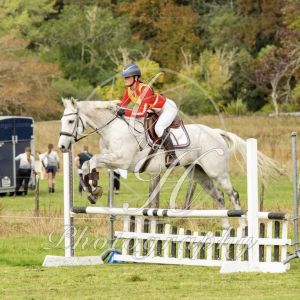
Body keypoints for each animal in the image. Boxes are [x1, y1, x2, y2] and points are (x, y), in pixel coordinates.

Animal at [58, 98, 282, 227]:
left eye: (70, 121)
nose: (62, 146)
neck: (112, 129)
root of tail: (215, 132)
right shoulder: (112, 161)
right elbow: (87, 165)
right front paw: (93, 191)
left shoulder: (122, 160)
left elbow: (93, 160)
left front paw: (94, 190)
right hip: (198, 173)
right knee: (218, 197)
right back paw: (226, 227)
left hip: (216, 171)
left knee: (232, 194)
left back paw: (243, 226)